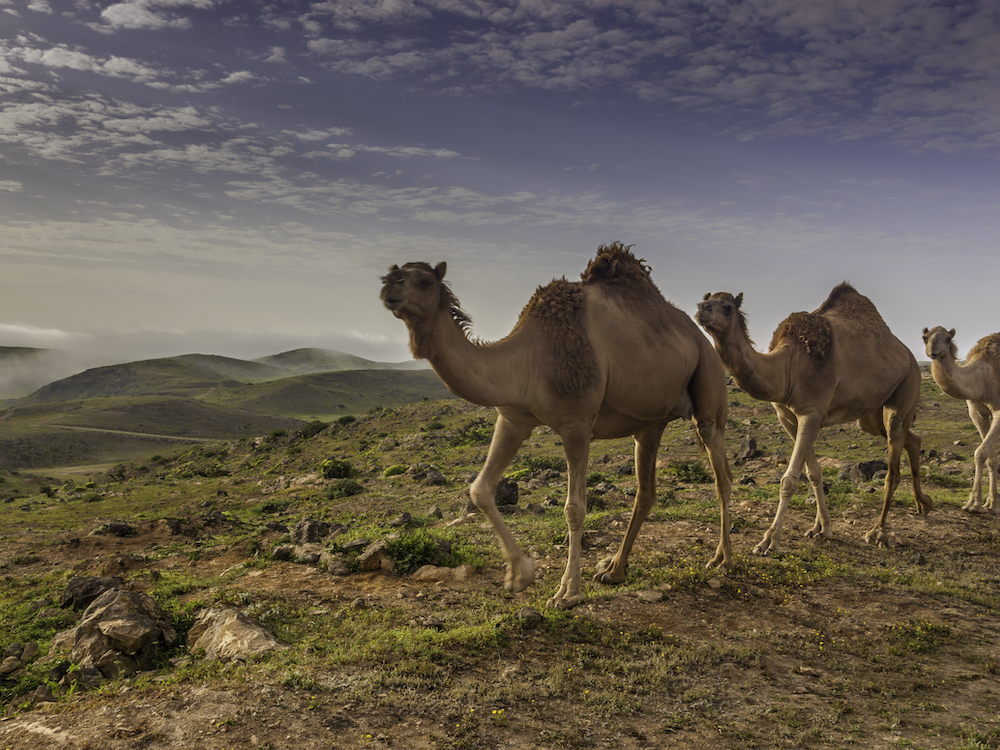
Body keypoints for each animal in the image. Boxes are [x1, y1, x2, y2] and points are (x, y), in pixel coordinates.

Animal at [378, 245, 732, 612]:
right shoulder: (513, 418)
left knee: (721, 475)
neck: (530, 356)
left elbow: (574, 509)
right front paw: (520, 574)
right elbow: (480, 489)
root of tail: (698, 335)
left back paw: (723, 559)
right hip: (650, 423)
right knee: (646, 491)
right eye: (390, 274)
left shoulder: (576, 424)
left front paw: (567, 593)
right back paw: (615, 570)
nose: (391, 285)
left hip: (708, 381)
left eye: (425, 280)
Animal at [696, 284, 928, 556]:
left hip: (907, 387)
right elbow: (814, 472)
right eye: (706, 300)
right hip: (870, 415)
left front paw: (769, 541)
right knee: (912, 438)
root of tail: (909, 356)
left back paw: (878, 533)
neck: (788, 366)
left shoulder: (811, 413)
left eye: (728, 307)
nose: (701, 310)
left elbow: (789, 479)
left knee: (893, 464)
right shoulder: (787, 417)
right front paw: (822, 528)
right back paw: (923, 503)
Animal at [920, 326, 1000, 516]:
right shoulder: (977, 412)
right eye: (925, 337)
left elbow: (980, 453)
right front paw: (991, 504)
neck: (985, 375)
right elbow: (990, 457)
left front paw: (973, 504)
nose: (934, 349)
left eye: (948, 338)